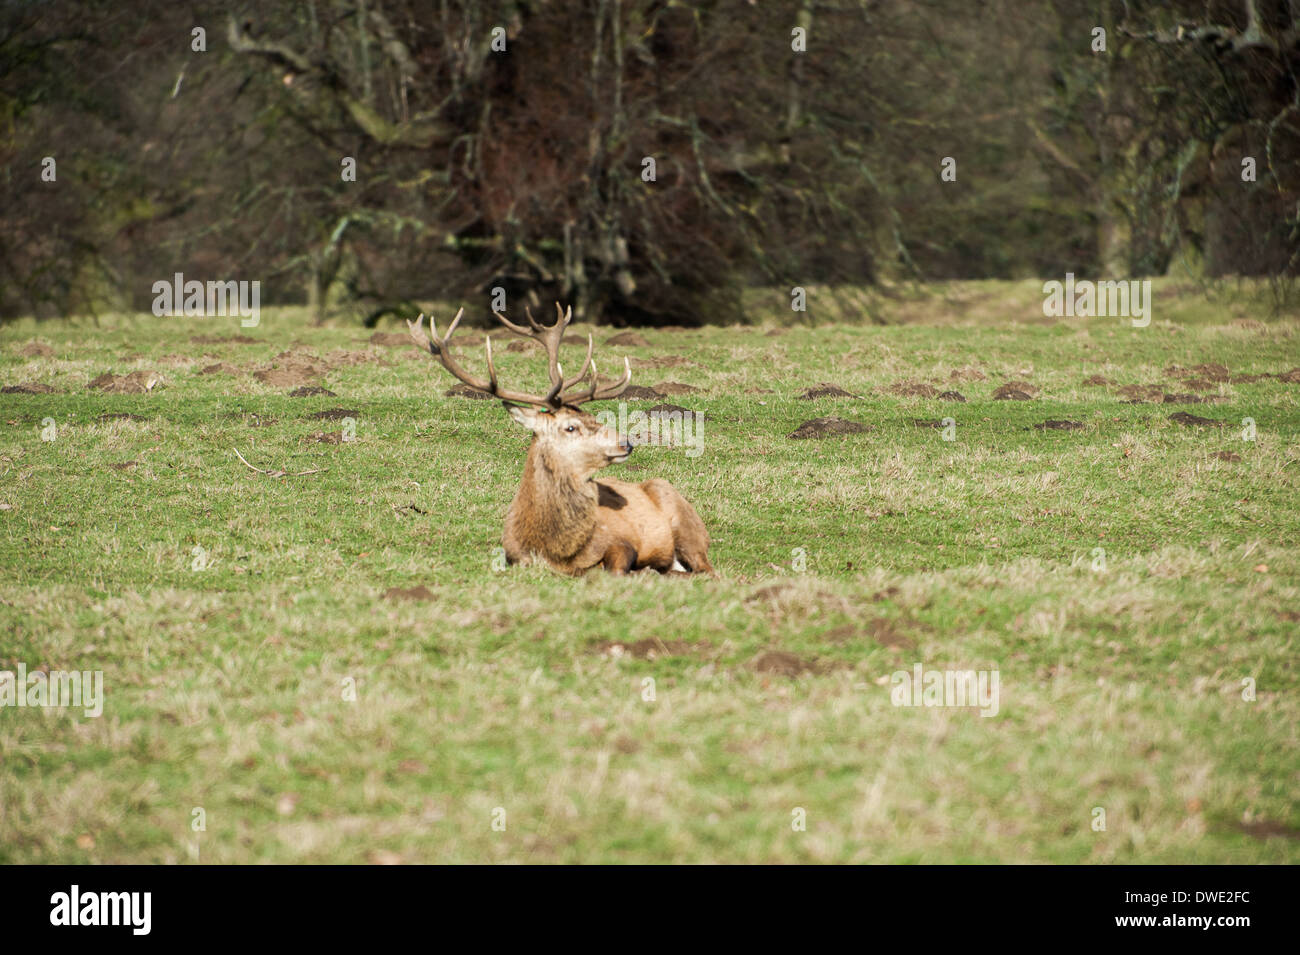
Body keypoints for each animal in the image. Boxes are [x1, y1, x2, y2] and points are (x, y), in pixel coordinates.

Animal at [407, 304, 714, 576]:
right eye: (570, 427)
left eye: (593, 416)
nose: (626, 443)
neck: (557, 549)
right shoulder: (515, 555)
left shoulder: (622, 541)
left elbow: (614, 569)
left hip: (685, 523)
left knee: (706, 570)